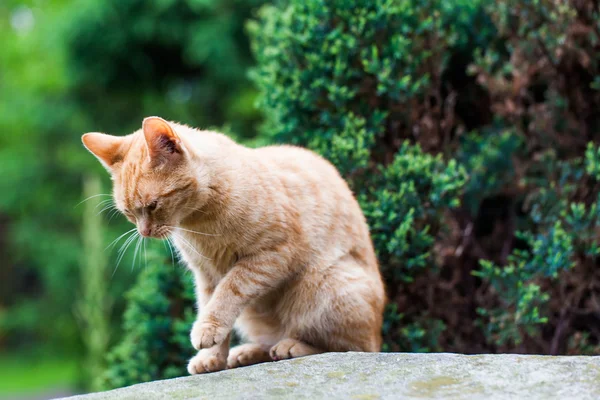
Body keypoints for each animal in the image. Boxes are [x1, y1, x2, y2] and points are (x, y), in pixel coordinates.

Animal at [81, 117, 384, 374]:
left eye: (153, 206)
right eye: (128, 213)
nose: (144, 233)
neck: (199, 222)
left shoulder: (270, 255)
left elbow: (229, 292)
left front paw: (207, 330)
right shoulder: (206, 275)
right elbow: (211, 303)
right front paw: (213, 358)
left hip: (327, 287)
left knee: (352, 347)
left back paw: (292, 346)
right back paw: (247, 352)